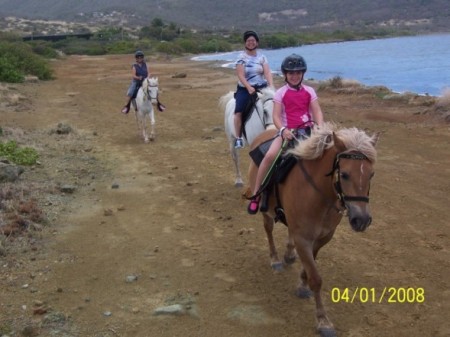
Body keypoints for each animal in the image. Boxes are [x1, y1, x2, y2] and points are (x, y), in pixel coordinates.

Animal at [248, 122, 378, 336]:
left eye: (371, 174)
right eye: (344, 174)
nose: (362, 220)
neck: (318, 195)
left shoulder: (323, 237)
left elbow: (310, 265)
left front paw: (302, 284)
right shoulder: (303, 238)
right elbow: (316, 279)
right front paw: (323, 321)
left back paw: (289, 254)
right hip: (265, 209)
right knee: (268, 229)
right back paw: (275, 259)